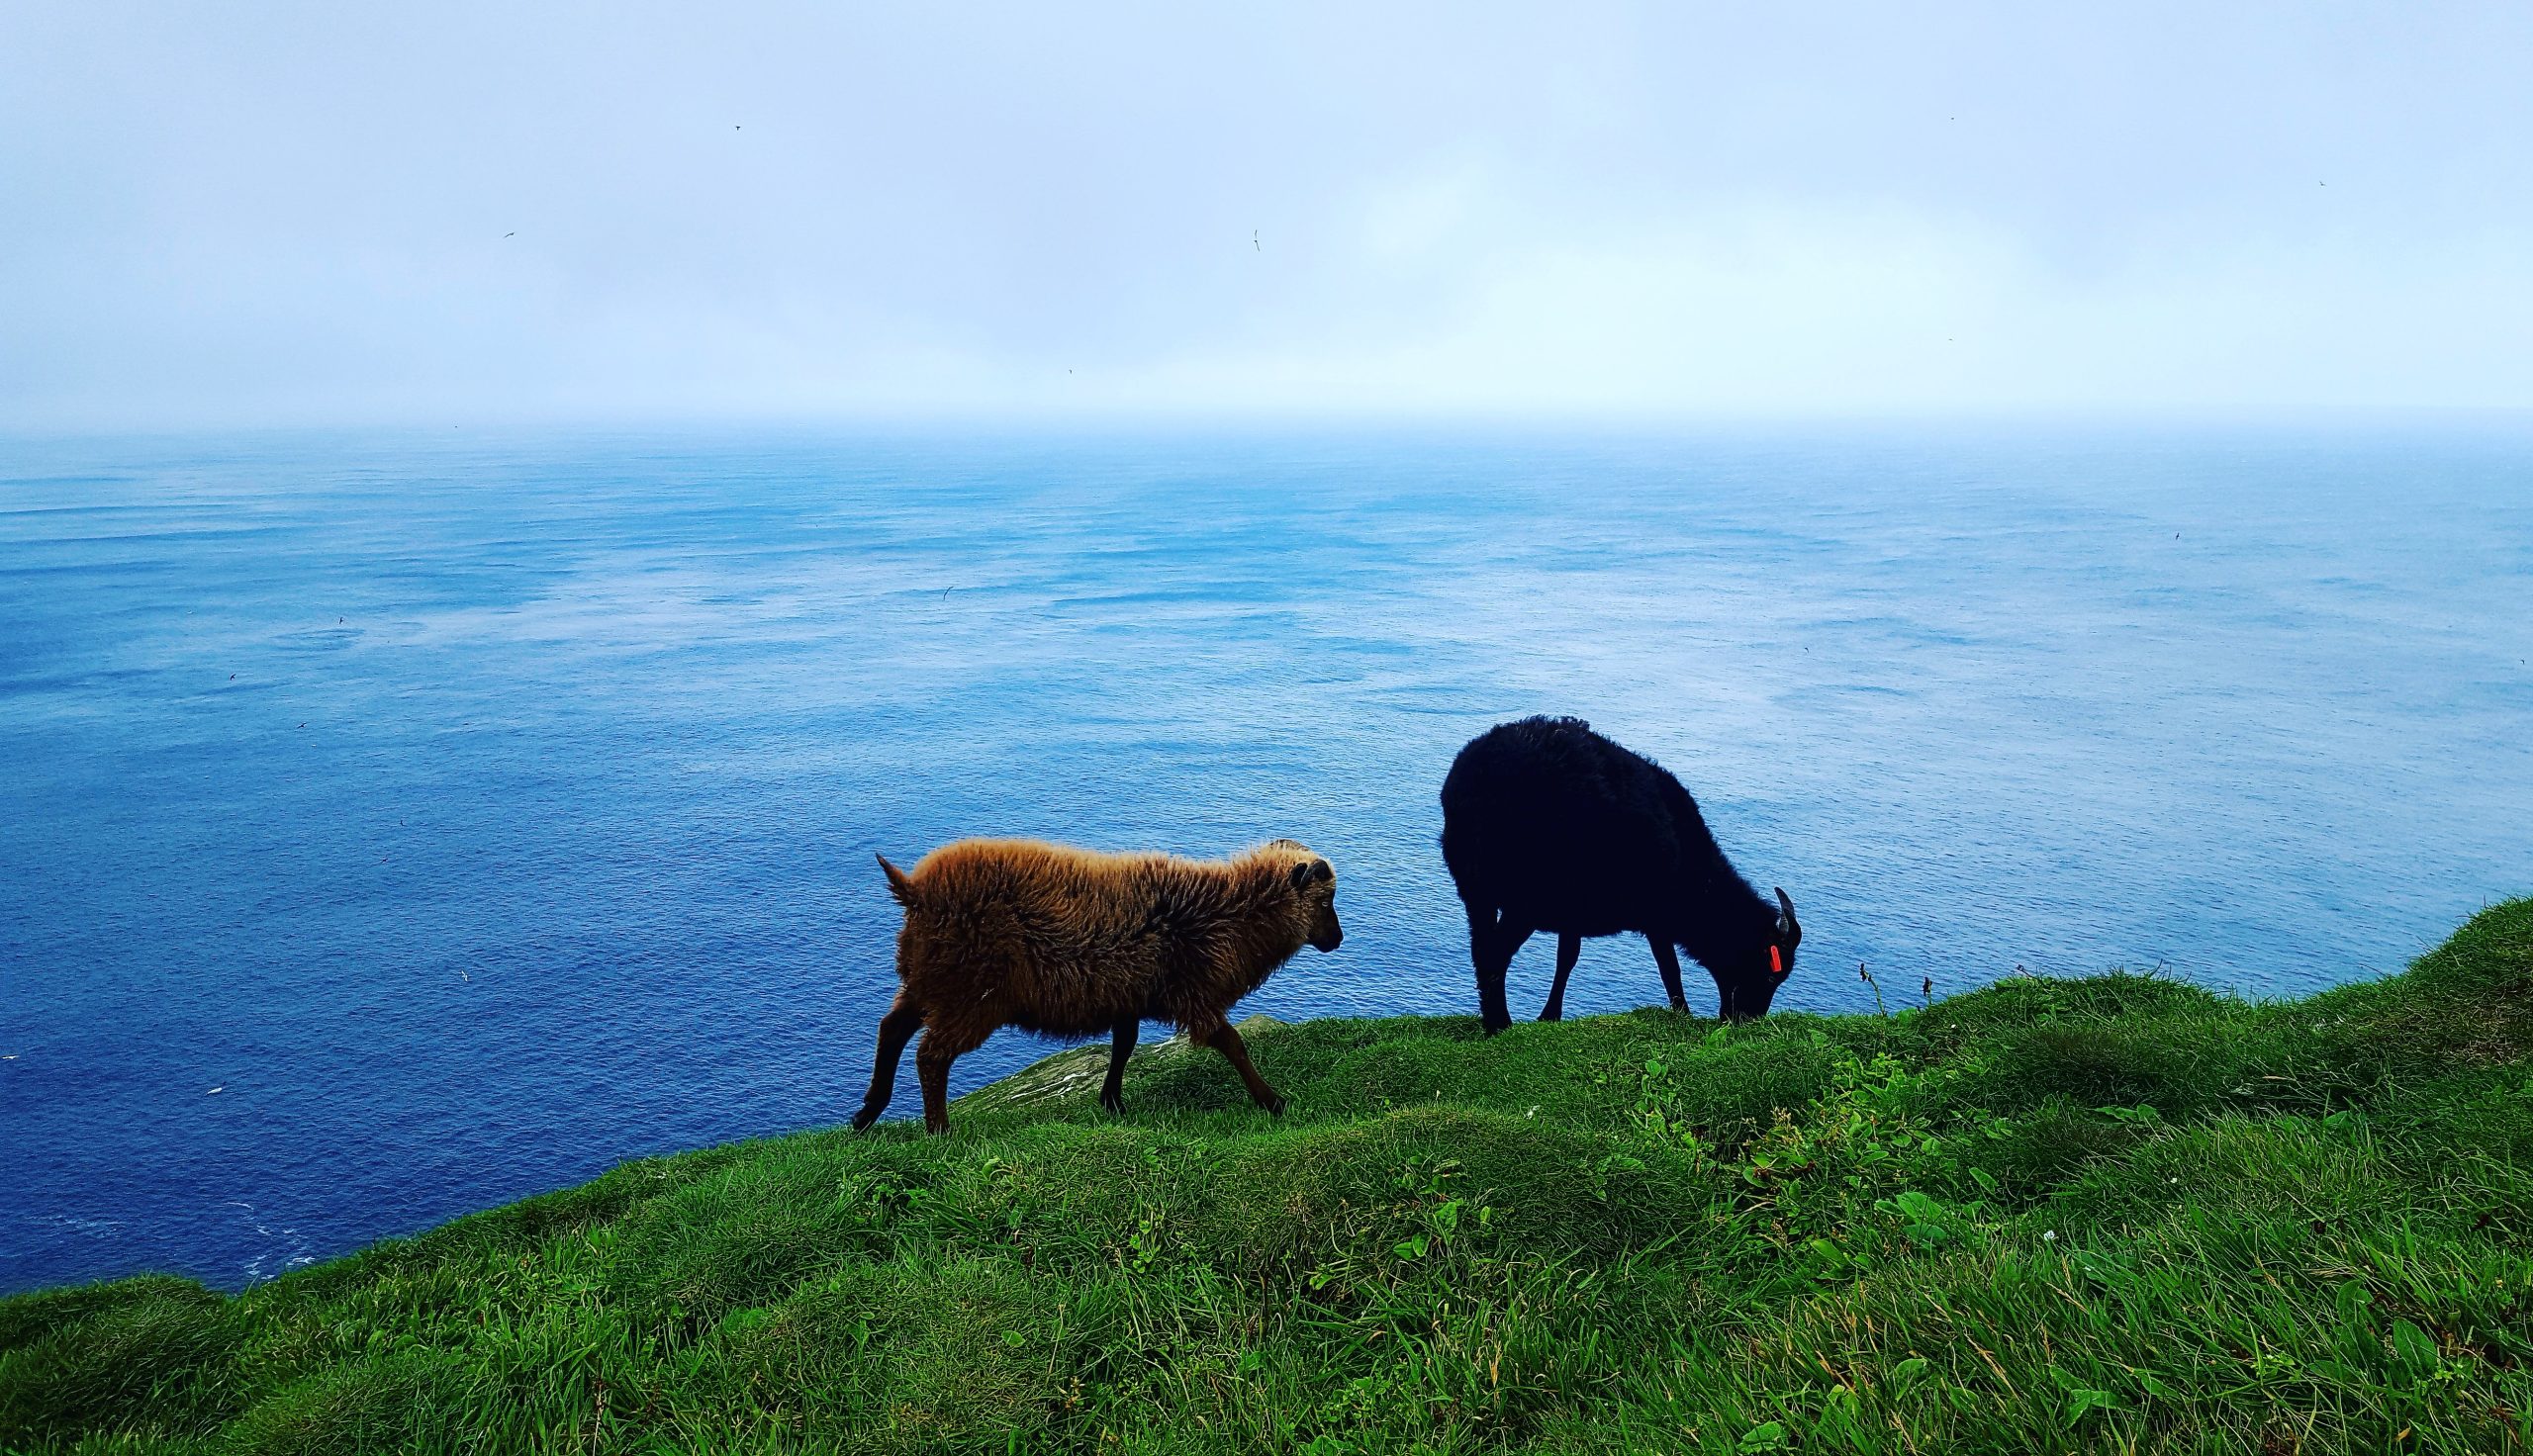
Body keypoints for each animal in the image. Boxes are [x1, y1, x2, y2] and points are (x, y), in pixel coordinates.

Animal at [846, 835, 1347, 1134]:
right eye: (1327, 899)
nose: (1338, 940)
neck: (1232, 915)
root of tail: (916, 892)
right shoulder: (1195, 994)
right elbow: (1233, 1044)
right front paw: (1272, 1101)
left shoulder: (1127, 994)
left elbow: (1124, 1045)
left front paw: (1112, 1102)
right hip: (970, 995)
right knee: (931, 1056)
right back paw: (938, 1129)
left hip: (927, 980)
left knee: (891, 1030)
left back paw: (867, 1113)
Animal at [1449, 713, 1803, 1033]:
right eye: (1771, 972)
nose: (1747, 1021)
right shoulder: (1657, 917)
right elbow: (1669, 968)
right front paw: (1683, 1015)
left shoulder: (1573, 912)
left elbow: (1567, 958)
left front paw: (1550, 1016)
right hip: (1525, 896)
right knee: (1494, 954)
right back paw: (1499, 1024)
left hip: (1475, 887)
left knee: (1482, 948)